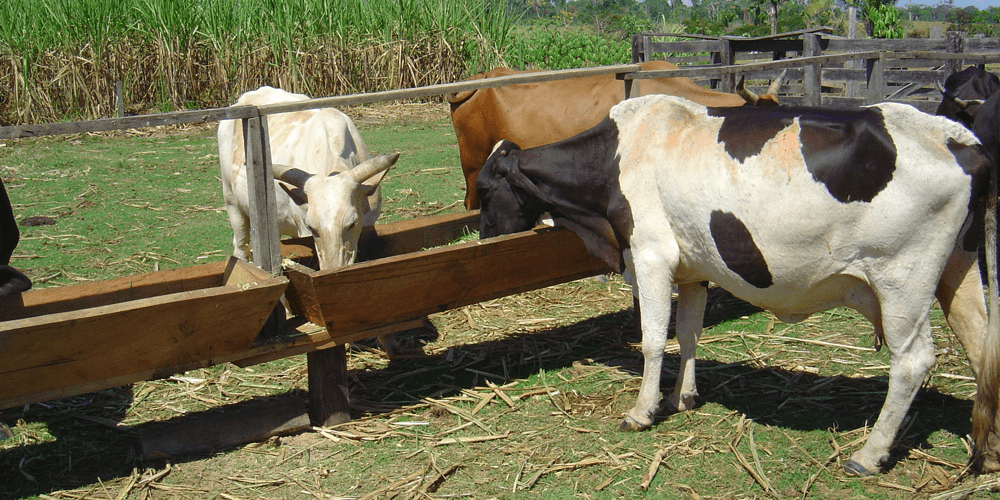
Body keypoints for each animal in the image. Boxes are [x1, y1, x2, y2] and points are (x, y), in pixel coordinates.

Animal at [478, 94, 1000, 476]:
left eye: (484, 190)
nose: (481, 238)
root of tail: (957, 136)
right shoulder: (691, 268)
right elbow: (687, 333)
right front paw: (683, 397)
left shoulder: (650, 255)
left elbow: (653, 340)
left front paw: (643, 411)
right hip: (958, 268)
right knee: (981, 348)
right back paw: (988, 449)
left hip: (902, 279)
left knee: (913, 362)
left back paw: (869, 455)